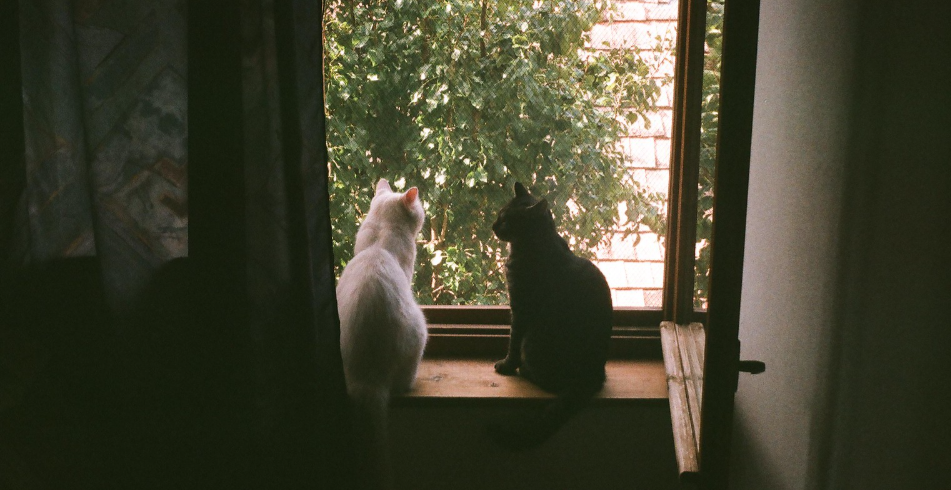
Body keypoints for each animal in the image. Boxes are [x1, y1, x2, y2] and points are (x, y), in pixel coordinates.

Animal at [490, 181, 616, 448]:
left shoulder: (520, 310)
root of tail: (592, 376)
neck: (539, 243)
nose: (493, 225)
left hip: (533, 340)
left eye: (505, 220)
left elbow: (512, 343)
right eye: (498, 215)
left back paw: (525, 372)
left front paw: (506, 366)